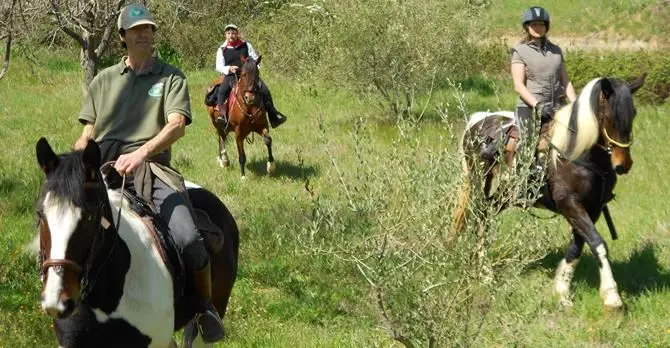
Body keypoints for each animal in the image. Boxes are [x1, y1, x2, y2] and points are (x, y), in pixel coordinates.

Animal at [454, 75, 648, 308]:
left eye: (634, 113)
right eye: (609, 116)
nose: (623, 164)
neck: (578, 153)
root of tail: (478, 120)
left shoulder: (592, 208)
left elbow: (578, 246)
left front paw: (562, 291)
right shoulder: (570, 205)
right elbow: (598, 243)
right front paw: (612, 297)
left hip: (507, 192)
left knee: (487, 213)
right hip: (480, 180)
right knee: (480, 215)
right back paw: (485, 272)